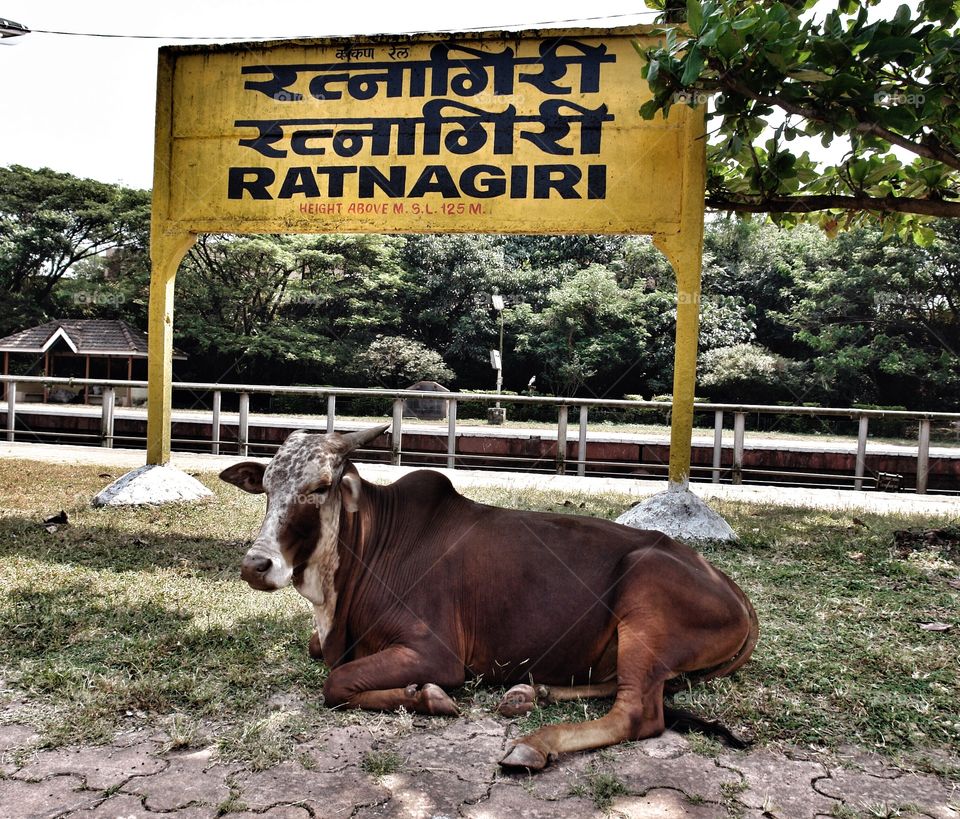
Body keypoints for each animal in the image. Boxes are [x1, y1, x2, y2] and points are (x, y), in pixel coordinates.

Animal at [219, 426, 756, 772]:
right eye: (266, 486)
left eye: (321, 487)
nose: (255, 565)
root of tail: (731, 588)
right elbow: (323, 659)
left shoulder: (435, 651)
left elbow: (336, 682)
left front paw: (428, 695)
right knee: (621, 687)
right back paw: (529, 694)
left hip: (643, 595)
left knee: (638, 712)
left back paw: (532, 745)